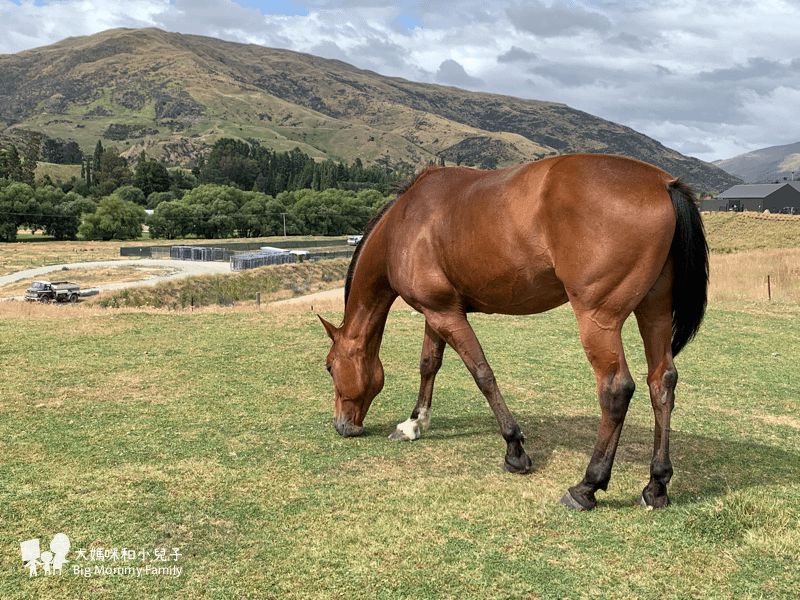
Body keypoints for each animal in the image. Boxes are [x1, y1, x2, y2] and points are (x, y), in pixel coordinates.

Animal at [318, 154, 708, 510]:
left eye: (329, 367)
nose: (342, 426)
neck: (405, 223)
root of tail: (663, 183)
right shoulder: (437, 312)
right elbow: (429, 364)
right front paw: (414, 423)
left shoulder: (447, 315)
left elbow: (482, 374)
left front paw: (514, 449)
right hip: (654, 311)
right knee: (662, 382)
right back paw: (656, 485)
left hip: (599, 318)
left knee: (616, 389)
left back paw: (586, 487)